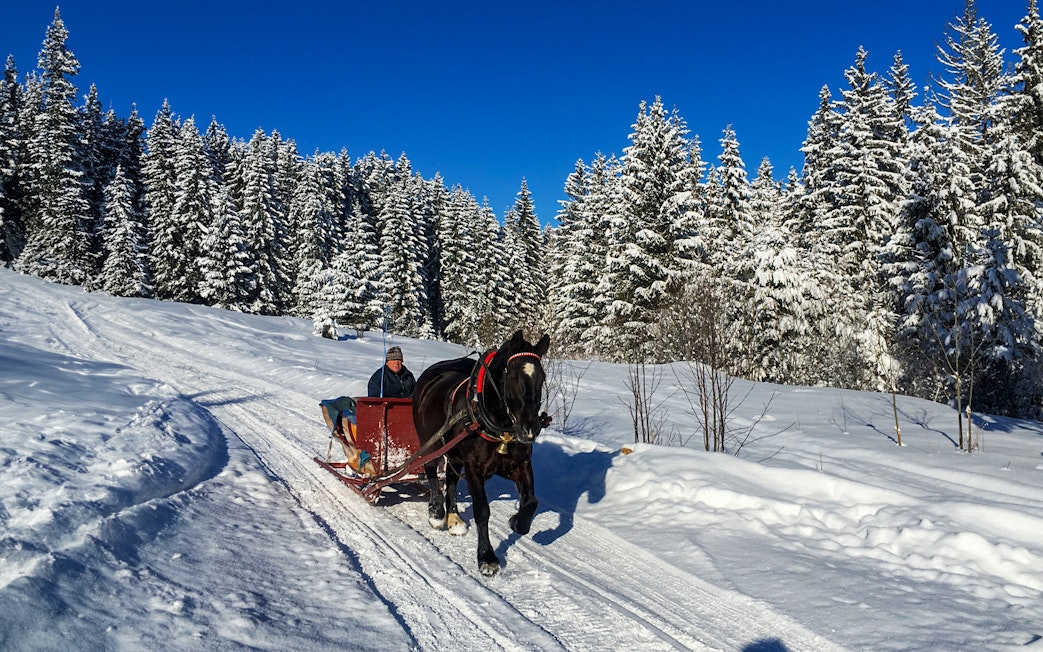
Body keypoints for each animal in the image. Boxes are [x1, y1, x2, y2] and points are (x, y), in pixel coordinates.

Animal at [412, 330, 551, 576]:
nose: (530, 429)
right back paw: (437, 512)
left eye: (541, 377)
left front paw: (517, 522)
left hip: (454, 452)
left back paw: (454, 519)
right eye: (512, 375)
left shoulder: (521, 463)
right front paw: (486, 557)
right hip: (432, 442)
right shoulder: (474, 468)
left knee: (450, 477)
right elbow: (482, 511)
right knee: (431, 469)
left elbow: (531, 502)